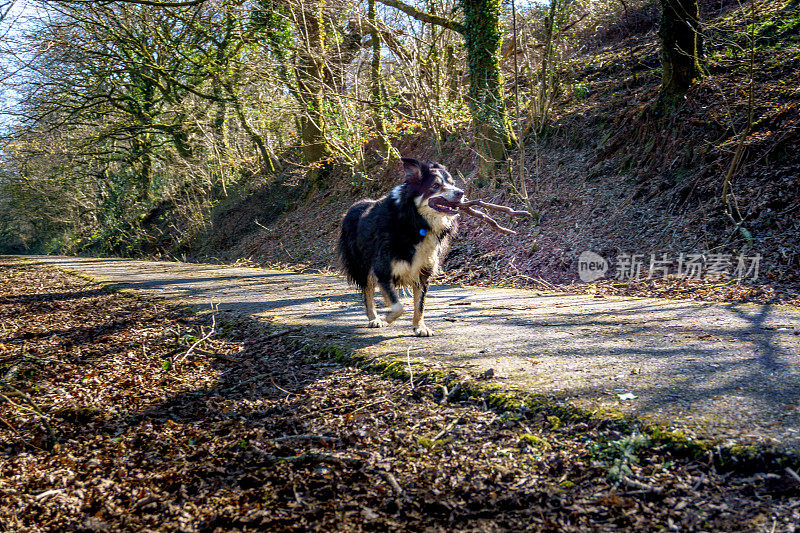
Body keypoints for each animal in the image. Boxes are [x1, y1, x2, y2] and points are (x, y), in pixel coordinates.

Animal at [338, 156, 462, 336]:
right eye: (435, 185)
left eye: (452, 183)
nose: (460, 193)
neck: (415, 221)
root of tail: (354, 206)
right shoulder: (382, 268)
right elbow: (398, 306)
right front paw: (389, 317)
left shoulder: (423, 272)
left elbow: (420, 305)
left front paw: (420, 327)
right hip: (362, 265)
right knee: (368, 292)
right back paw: (374, 318)